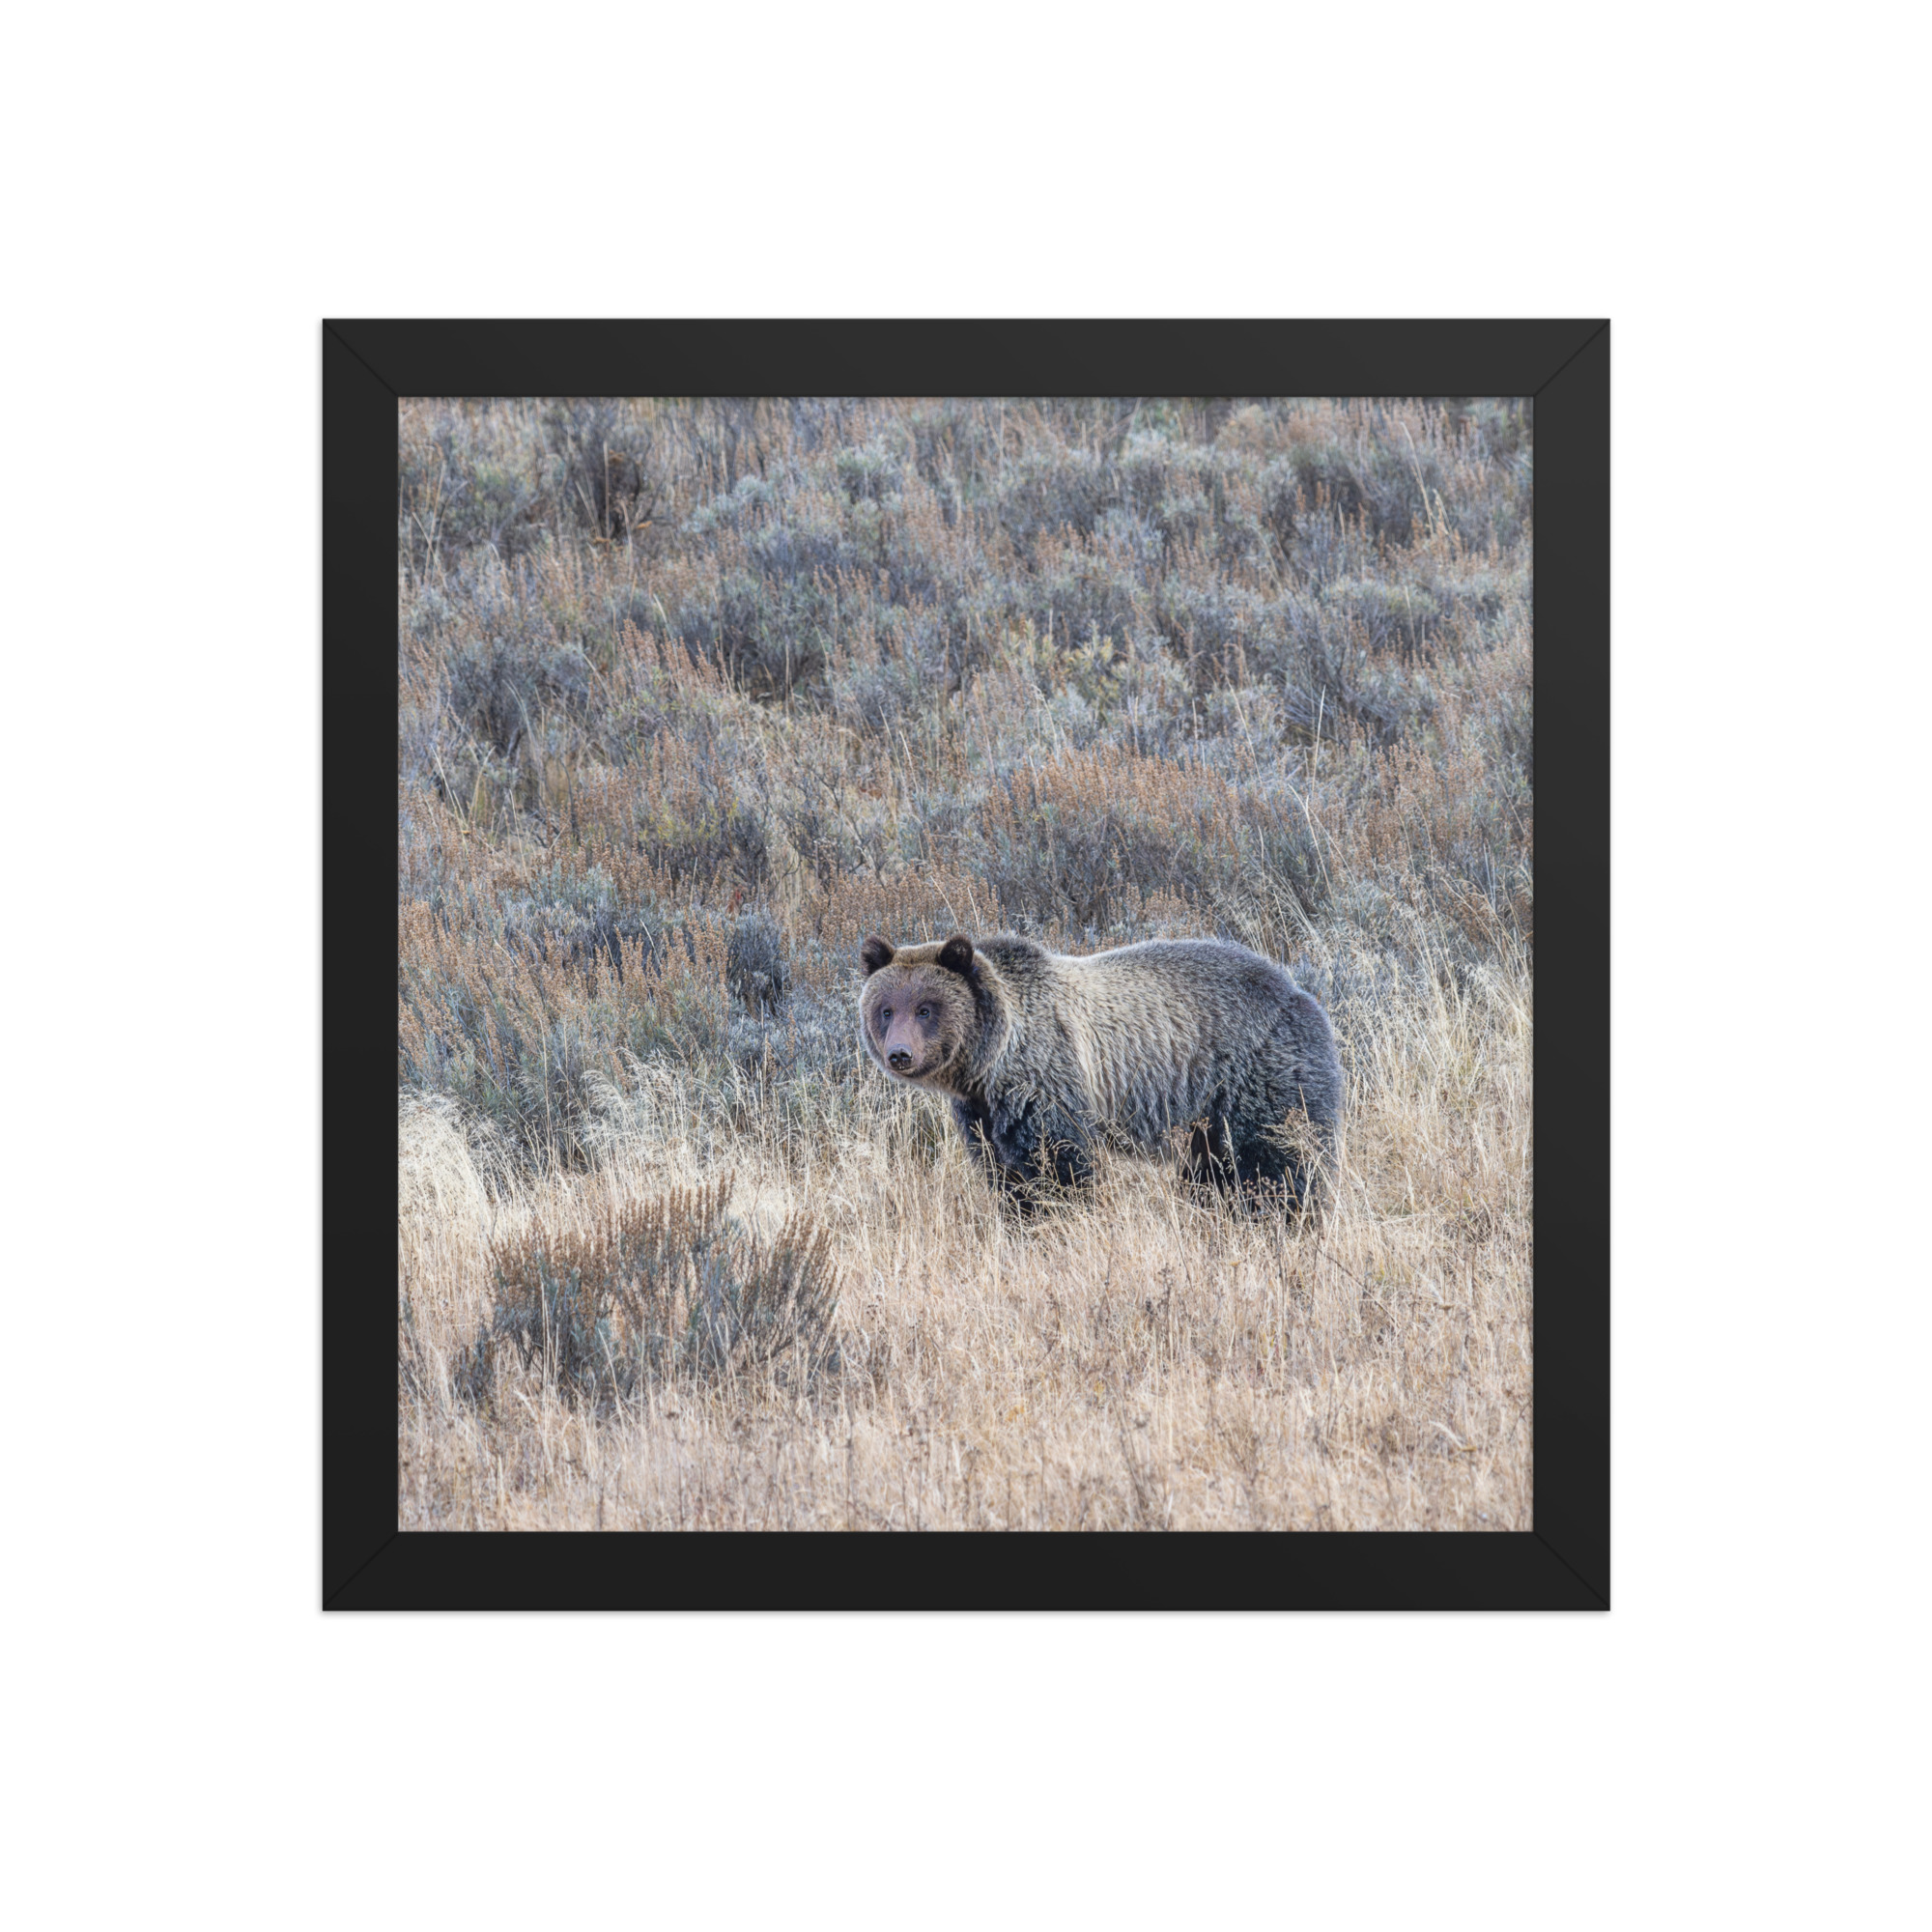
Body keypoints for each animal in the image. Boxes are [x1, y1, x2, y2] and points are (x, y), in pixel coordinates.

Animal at [858, 930, 1342, 1215]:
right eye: (886, 1009)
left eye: (925, 1008)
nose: (900, 1054)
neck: (990, 1063)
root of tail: (1299, 991)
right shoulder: (982, 1113)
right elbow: (1004, 1174)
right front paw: (1020, 1217)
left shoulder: (1047, 1082)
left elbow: (1060, 1167)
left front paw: (1061, 1217)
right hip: (1206, 1117)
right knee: (1212, 1172)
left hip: (1258, 1075)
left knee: (1278, 1161)